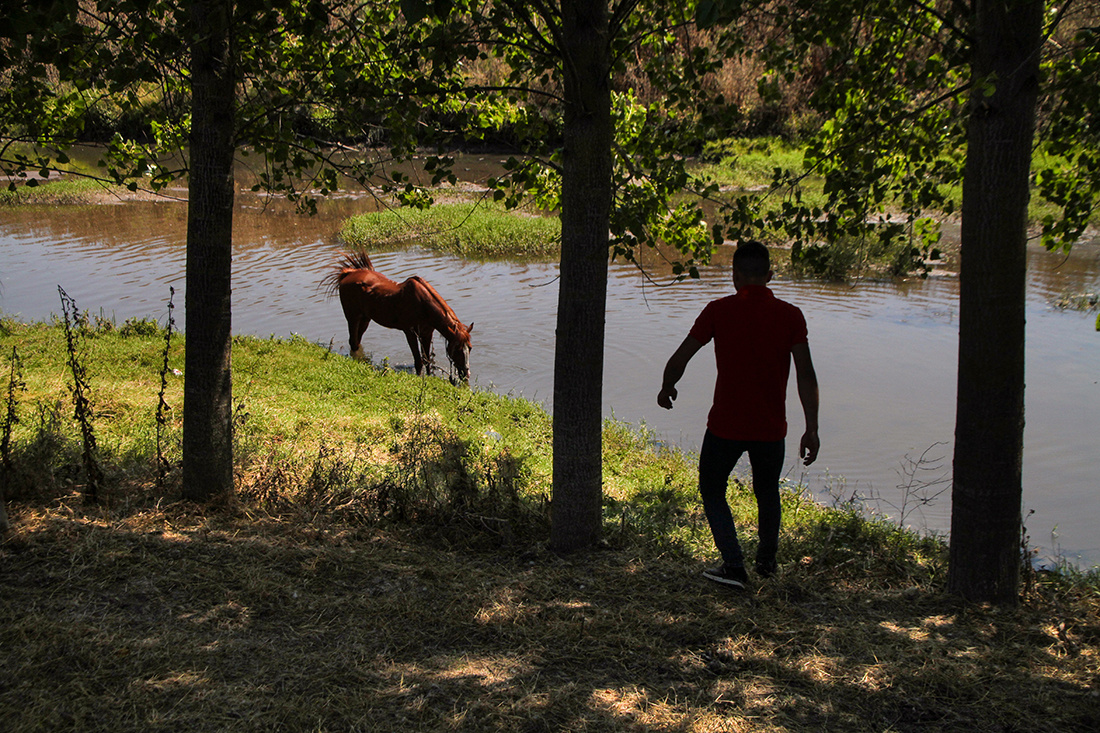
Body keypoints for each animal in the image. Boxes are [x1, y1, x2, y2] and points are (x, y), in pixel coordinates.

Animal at [321, 250, 468, 383]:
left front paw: (430, 377)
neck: (423, 304)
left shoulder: (426, 333)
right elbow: (418, 360)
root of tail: (348, 274)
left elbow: (427, 359)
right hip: (352, 317)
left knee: (356, 342)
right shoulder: (410, 332)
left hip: (365, 318)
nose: (466, 375)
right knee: (352, 340)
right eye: (457, 349)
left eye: (470, 348)